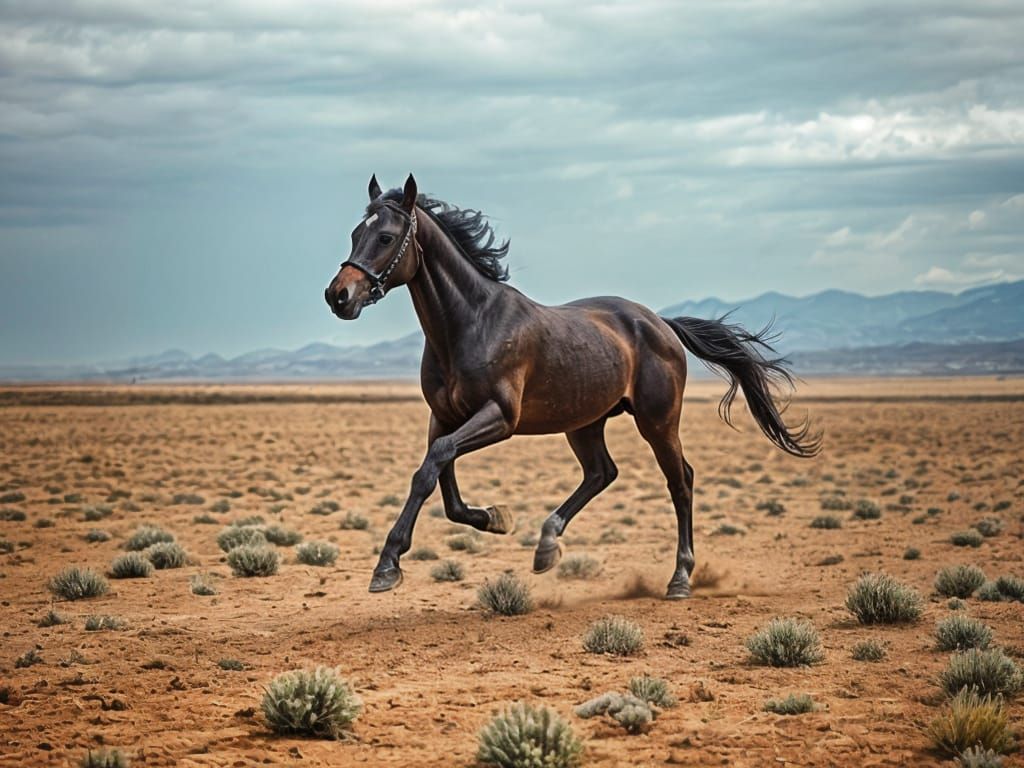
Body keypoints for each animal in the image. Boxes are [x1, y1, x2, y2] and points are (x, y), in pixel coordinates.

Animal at [324, 174, 820, 599]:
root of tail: (660, 323)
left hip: (658, 421)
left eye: (386, 237)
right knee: (602, 472)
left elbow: (433, 466)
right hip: (585, 422)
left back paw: (679, 578)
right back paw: (547, 546)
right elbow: (439, 479)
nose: (338, 296)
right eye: (354, 233)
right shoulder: (444, 417)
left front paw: (387, 566)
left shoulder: (500, 417)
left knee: (680, 481)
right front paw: (495, 519)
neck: (471, 323)